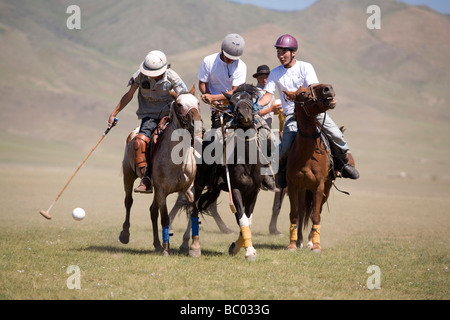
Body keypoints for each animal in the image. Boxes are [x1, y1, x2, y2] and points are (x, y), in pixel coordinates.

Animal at [119, 86, 204, 256]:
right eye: (179, 104)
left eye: (197, 102)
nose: (197, 124)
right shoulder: (162, 191)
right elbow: (165, 218)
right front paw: (166, 249)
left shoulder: (188, 189)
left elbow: (194, 214)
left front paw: (194, 247)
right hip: (128, 175)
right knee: (128, 202)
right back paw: (125, 235)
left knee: (152, 211)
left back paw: (157, 244)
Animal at [196, 83, 264, 260]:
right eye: (232, 102)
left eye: (249, 99)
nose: (244, 115)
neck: (247, 162)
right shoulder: (236, 189)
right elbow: (243, 220)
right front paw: (248, 251)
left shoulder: (253, 192)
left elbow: (246, 219)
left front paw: (236, 247)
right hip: (198, 184)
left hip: (215, 189)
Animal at [284, 84, 338, 252]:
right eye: (302, 93)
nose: (328, 88)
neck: (306, 155)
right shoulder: (293, 185)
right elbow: (294, 214)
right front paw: (292, 244)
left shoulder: (319, 186)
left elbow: (316, 216)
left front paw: (316, 245)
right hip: (303, 189)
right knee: (302, 211)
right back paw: (300, 240)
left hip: (325, 188)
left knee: (317, 209)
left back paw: (309, 241)